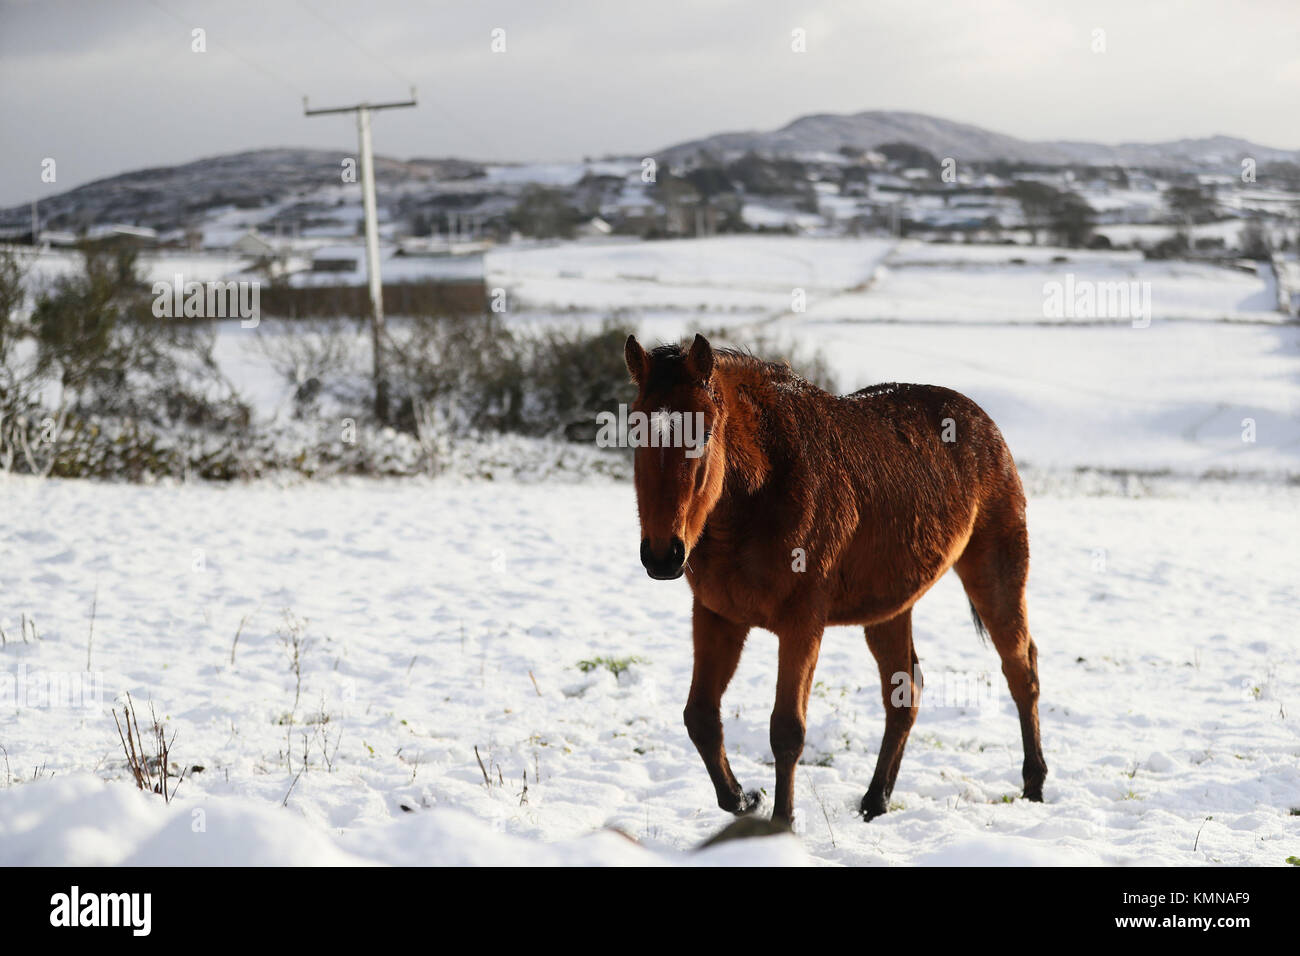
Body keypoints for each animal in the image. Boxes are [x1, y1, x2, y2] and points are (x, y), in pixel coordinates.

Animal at [624, 333, 1046, 824]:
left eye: (705, 433)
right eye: (635, 431)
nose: (662, 555)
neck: (762, 490)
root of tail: (983, 423)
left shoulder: (802, 622)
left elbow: (786, 730)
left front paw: (781, 821)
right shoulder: (716, 615)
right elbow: (701, 718)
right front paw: (744, 799)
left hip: (996, 576)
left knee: (1021, 671)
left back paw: (1035, 784)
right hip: (889, 609)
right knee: (905, 692)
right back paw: (876, 799)